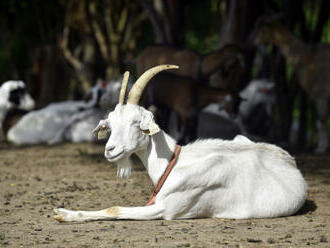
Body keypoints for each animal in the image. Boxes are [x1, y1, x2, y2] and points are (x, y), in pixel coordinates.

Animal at [53, 65, 306, 222]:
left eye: (136, 123)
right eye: (111, 124)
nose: (110, 150)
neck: (174, 163)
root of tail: (290, 159)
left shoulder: (166, 209)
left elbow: (114, 208)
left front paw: (63, 214)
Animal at [254, 18, 330, 153]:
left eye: (262, 30)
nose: (254, 41)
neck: (305, 57)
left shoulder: (320, 93)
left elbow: (321, 120)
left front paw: (320, 148)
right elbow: (320, 120)